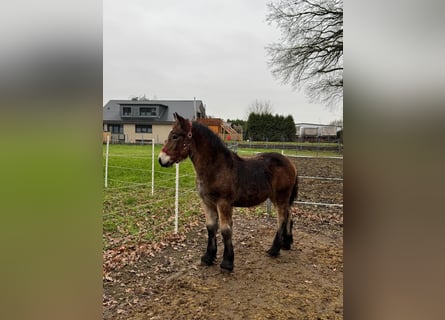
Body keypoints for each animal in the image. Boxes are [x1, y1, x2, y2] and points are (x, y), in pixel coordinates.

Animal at [158, 114, 296, 272]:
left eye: (175, 136)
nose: (161, 159)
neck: (217, 168)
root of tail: (290, 163)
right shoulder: (207, 203)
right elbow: (211, 227)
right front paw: (208, 257)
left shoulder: (224, 203)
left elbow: (226, 230)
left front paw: (227, 262)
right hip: (278, 198)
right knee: (289, 214)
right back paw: (286, 243)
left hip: (280, 197)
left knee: (282, 218)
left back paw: (274, 249)